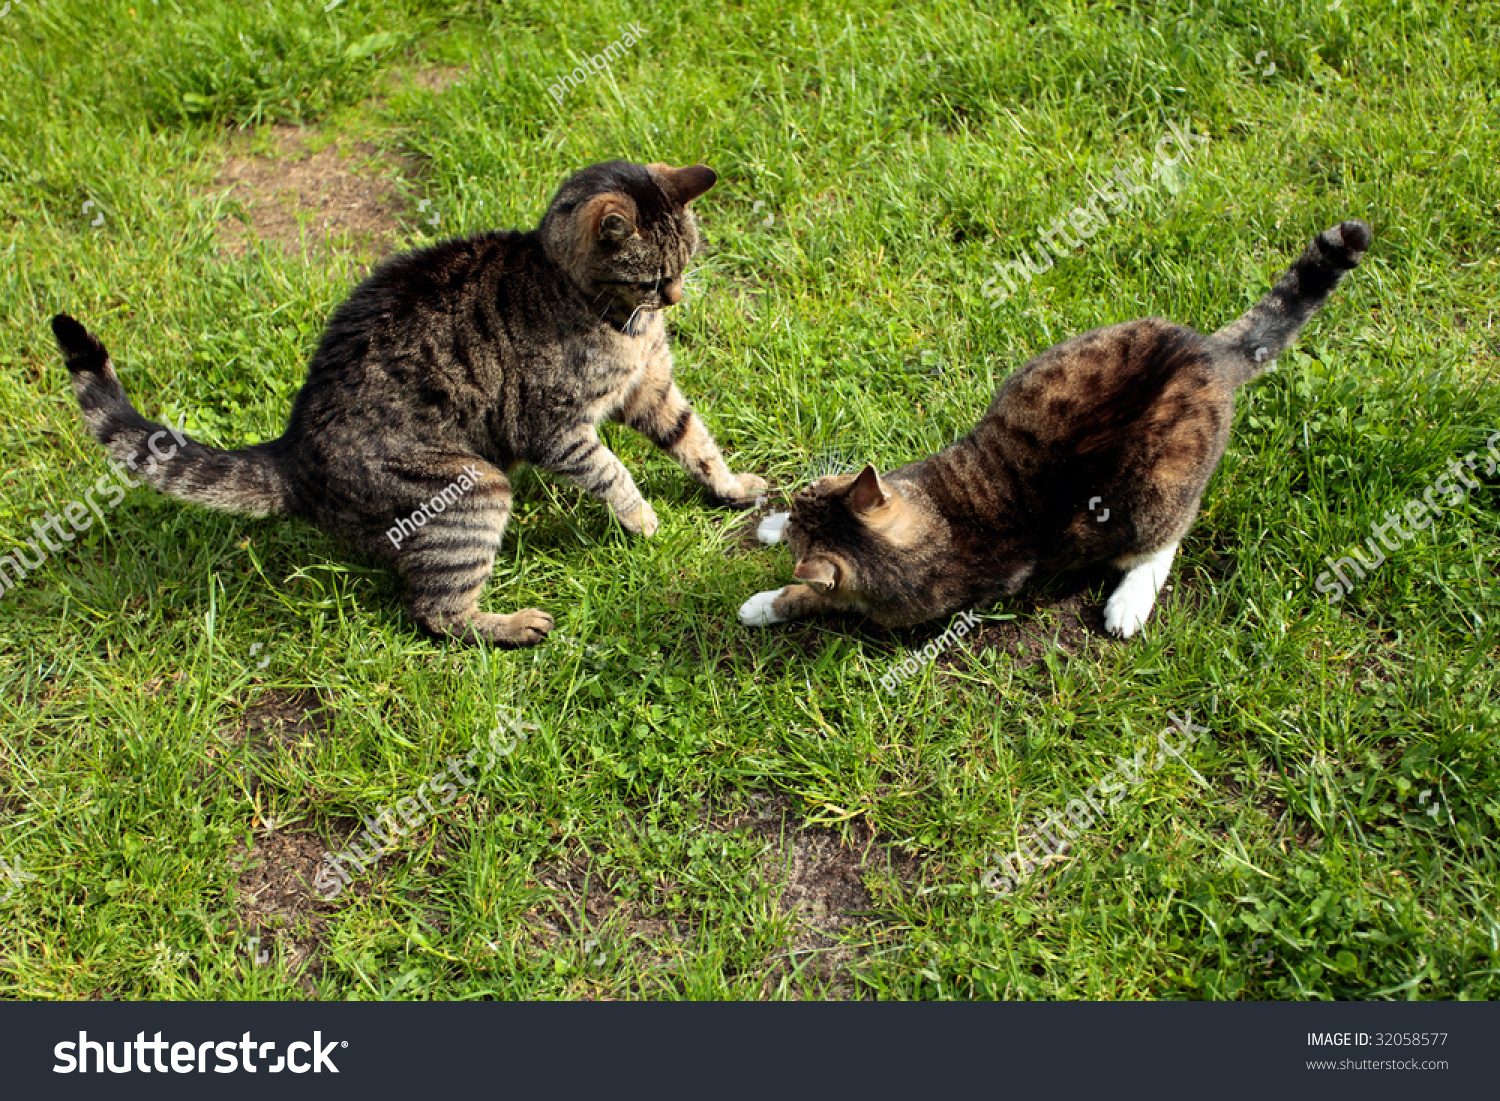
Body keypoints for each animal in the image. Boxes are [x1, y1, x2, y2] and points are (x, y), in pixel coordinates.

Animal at [54, 162, 768, 648]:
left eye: (687, 262)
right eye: (651, 277)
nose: (676, 299)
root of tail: (291, 452)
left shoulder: (652, 389)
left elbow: (696, 442)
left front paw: (731, 487)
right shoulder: (554, 427)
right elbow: (611, 471)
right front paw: (641, 519)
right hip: (476, 486)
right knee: (435, 612)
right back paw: (513, 624)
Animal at [738, 217, 1374, 639]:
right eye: (809, 492)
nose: (795, 507)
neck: (933, 527)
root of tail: (1208, 353)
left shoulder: (889, 607)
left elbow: (816, 599)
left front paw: (765, 599)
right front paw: (769, 523)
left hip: (1157, 496)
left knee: (1166, 542)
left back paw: (1128, 605)